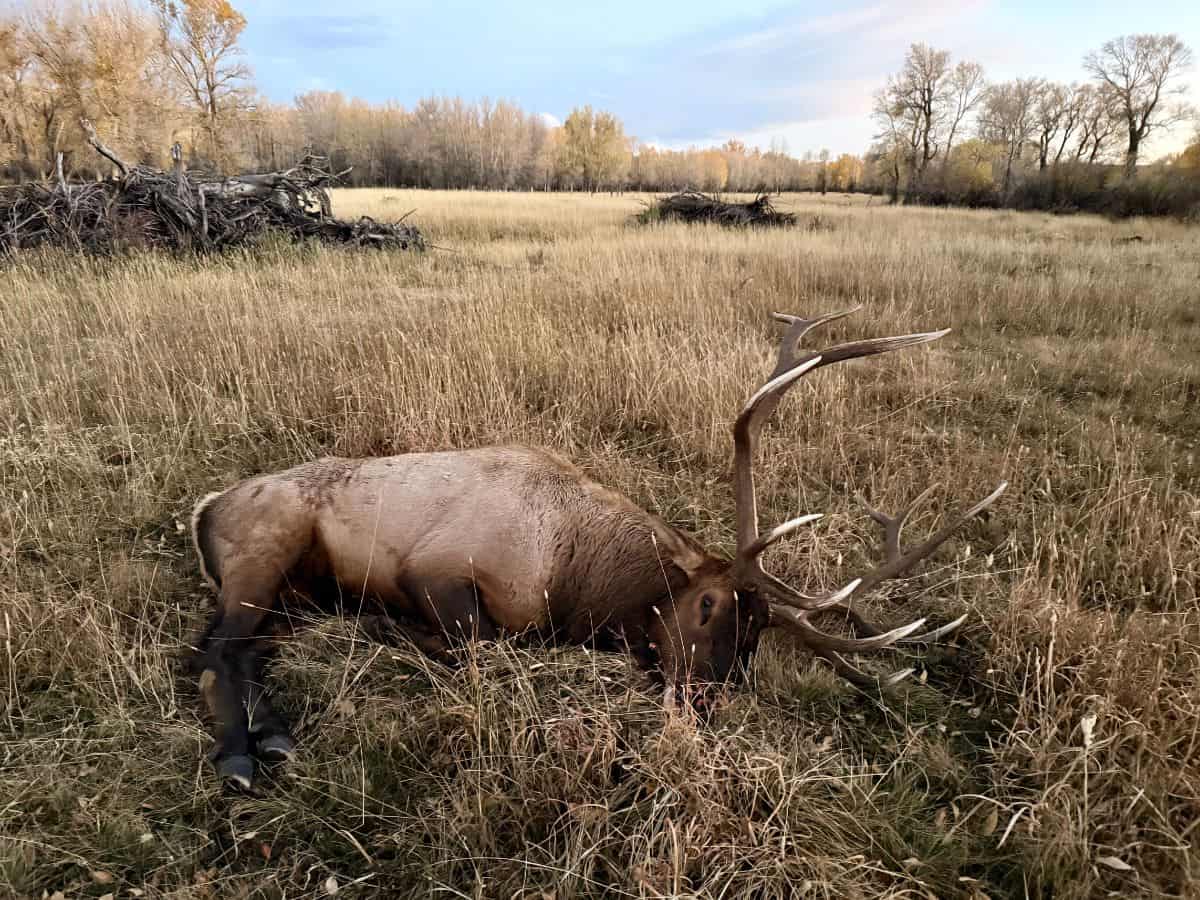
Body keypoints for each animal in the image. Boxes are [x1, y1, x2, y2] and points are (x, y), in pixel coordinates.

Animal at [189, 308, 1006, 789]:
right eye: (707, 607)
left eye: (757, 639)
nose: (701, 706)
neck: (572, 574)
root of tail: (206, 507)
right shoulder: (438, 570)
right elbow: (480, 646)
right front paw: (394, 630)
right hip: (267, 548)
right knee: (214, 650)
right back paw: (241, 756)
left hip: (291, 594)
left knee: (244, 646)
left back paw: (274, 737)